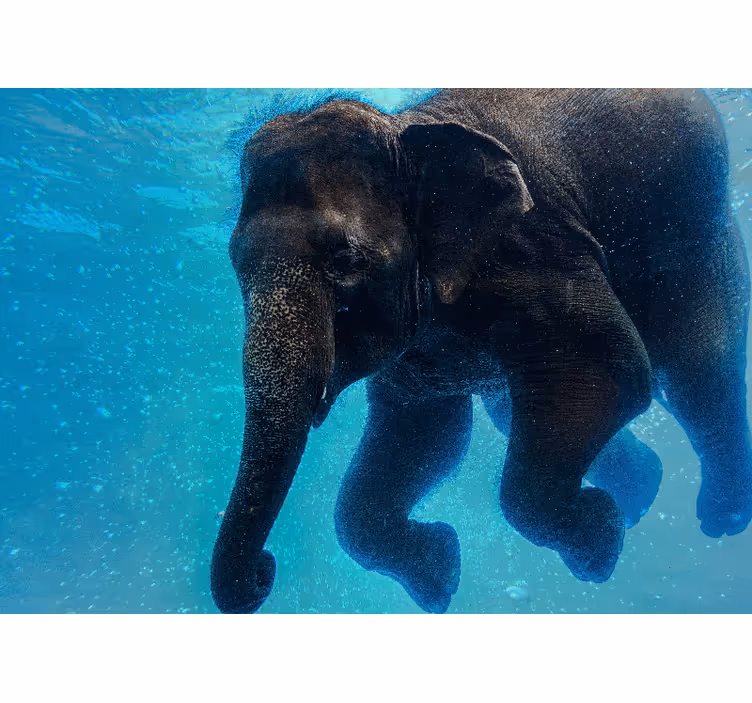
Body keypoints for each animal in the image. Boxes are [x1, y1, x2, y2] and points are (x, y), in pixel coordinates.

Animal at [211, 89, 752, 614]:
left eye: (343, 259)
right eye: (235, 264)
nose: (264, 570)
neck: (406, 130)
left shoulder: (537, 250)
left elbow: (607, 375)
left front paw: (600, 544)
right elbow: (426, 437)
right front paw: (440, 577)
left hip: (700, 238)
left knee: (697, 370)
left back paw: (721, 516)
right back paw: (644, 491)